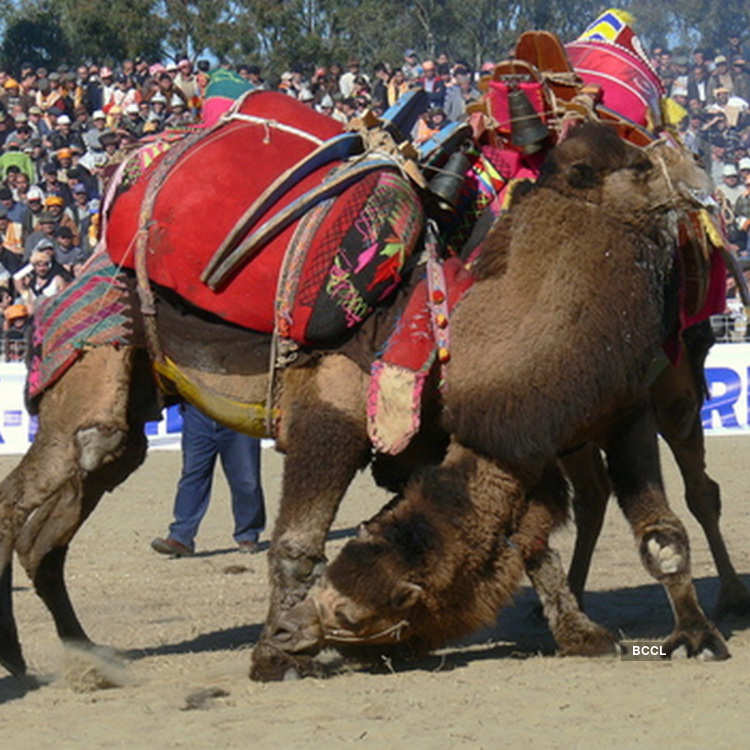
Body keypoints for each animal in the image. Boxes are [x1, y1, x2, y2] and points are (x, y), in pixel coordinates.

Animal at [0, 120, 736, 684]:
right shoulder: (337, 416)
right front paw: (272, 657)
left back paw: (85, 654)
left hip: (128, 416)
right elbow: (298, 545)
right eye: (634, 162)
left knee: (54, 528)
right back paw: (18, 662)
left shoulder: (578, 420)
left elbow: (592, 538)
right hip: (94, 374)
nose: (697, 169)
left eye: (357, 615)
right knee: (26, 500)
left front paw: (613, 634)